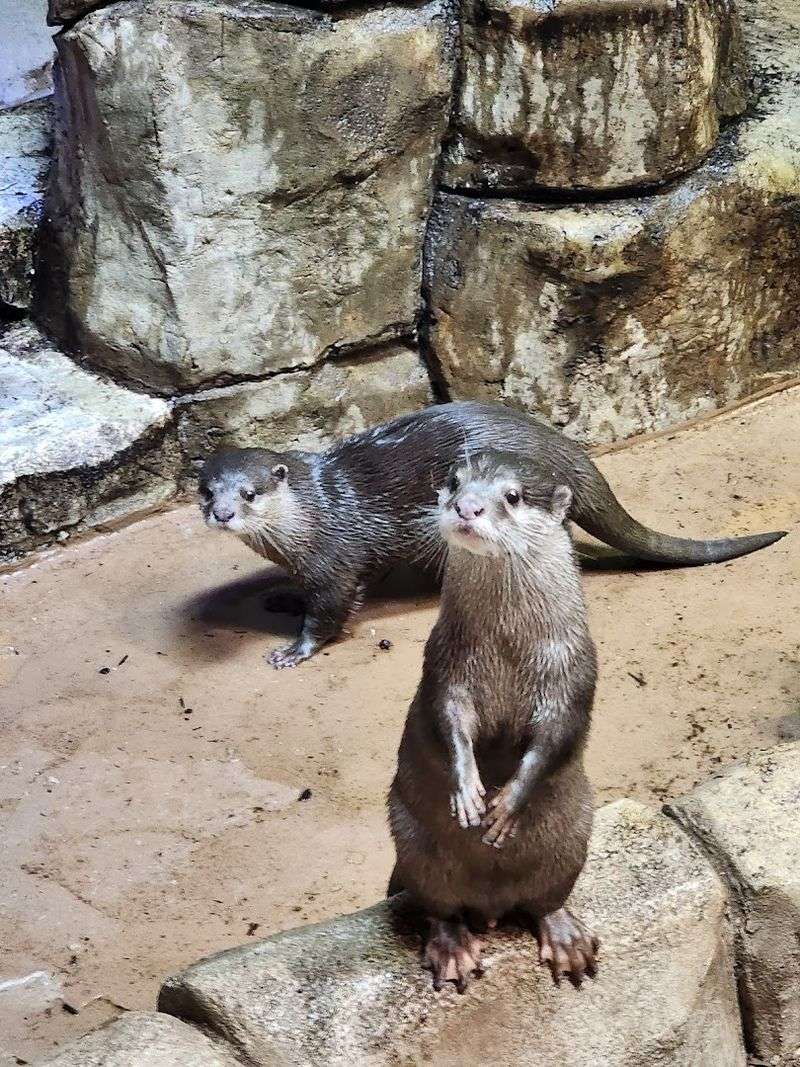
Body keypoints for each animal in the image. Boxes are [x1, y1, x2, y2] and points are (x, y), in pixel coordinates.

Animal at [198, 401, 785, 668]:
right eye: (207, 490)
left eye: (249, 493)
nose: (222, 514)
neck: (314, 512)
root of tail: (563, 451)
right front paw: (280, 596)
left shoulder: (334, 560)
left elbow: (329, 610)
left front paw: (294, 649)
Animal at [388, 451, 598, 992]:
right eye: (454, 481)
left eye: (513, 495)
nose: (467, 507)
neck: (506, 646)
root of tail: (492, 906)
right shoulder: (447, 665)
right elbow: (448, 721)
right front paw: (467, 790)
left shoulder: (572, 673)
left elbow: (556, 737)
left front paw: (507, 805)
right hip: (412, 844)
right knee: (438, 907)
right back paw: (453, 949)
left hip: (573, 838)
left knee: (547, 900)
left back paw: (564, 939)